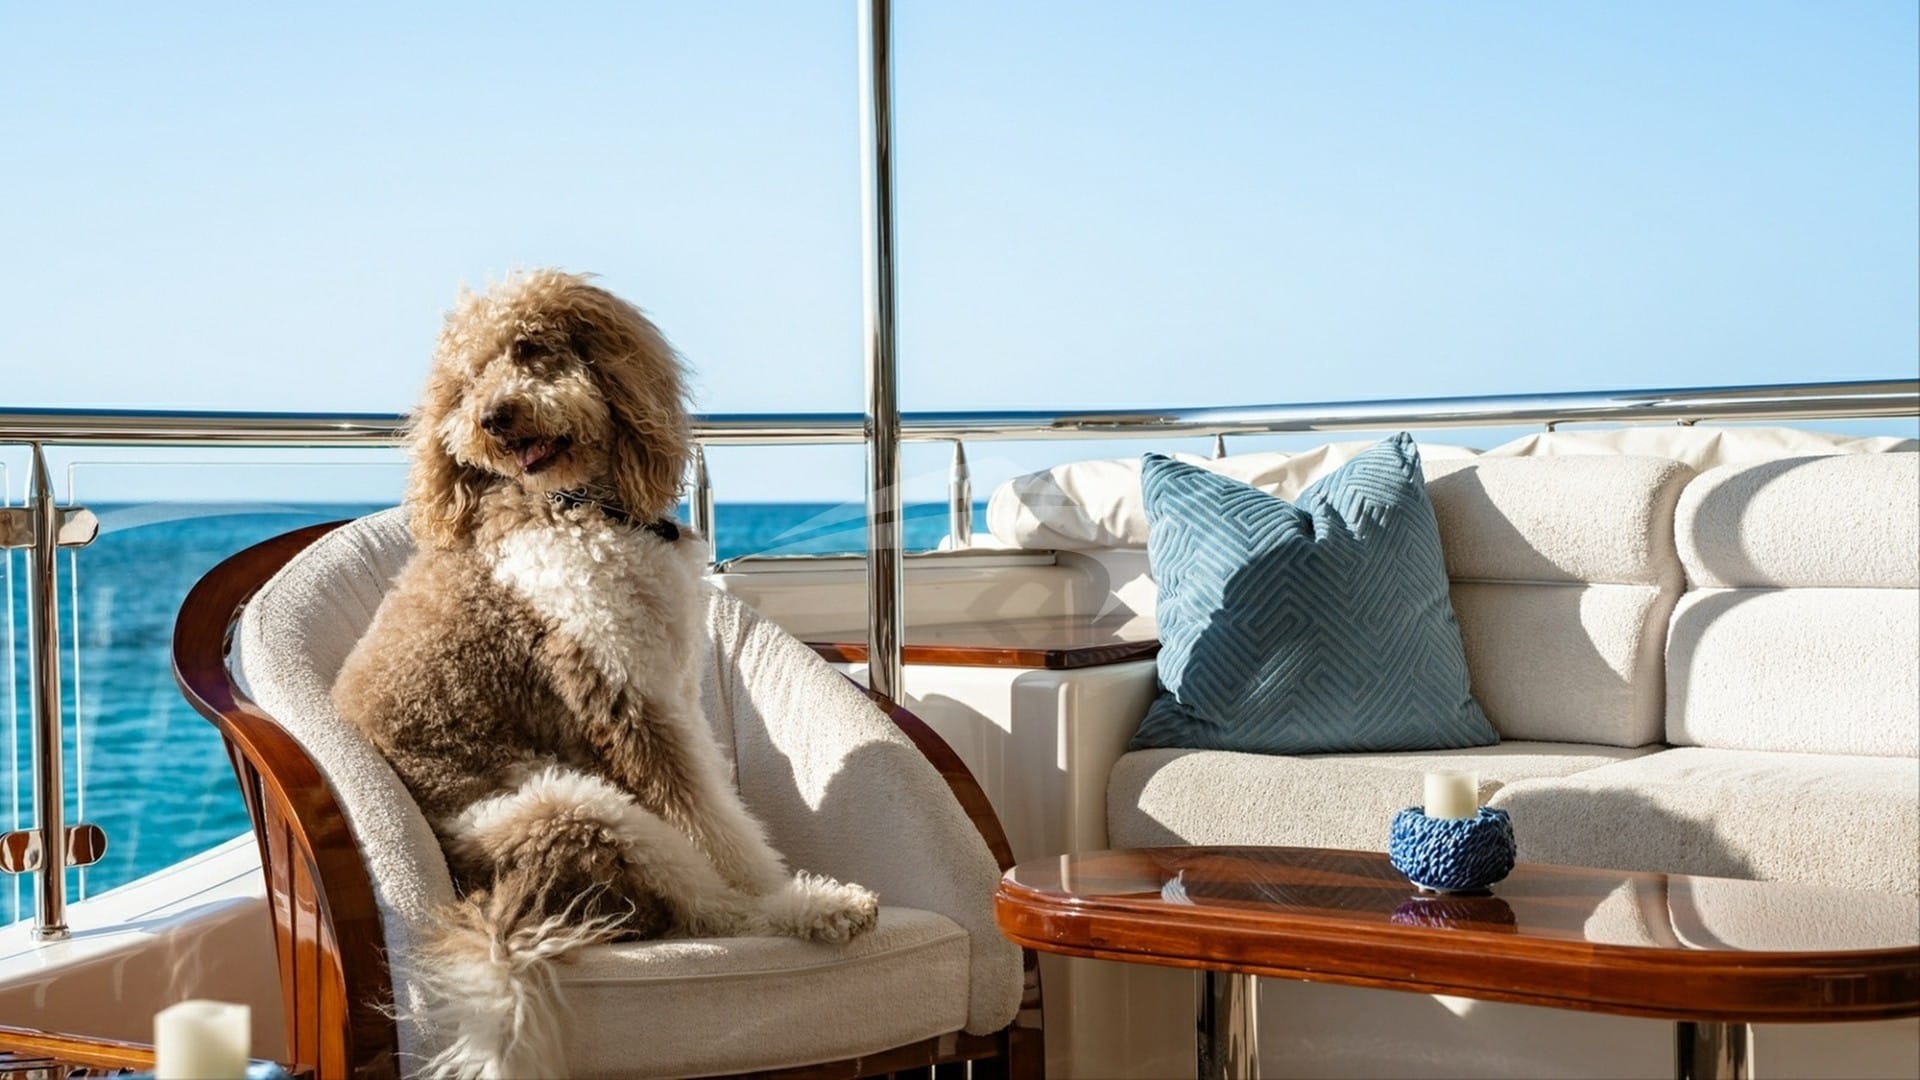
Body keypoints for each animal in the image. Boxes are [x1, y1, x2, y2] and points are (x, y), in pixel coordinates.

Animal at [333, 269, 879, 1079]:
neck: (579, 508)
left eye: (531, 348)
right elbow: (715, 828)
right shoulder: (623, 698)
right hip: (574, 806)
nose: (492, 418)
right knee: (705, 903)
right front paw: (778, 887)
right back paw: (811, 908)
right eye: (466, 380)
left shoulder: (674, 685)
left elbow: (721, 801)